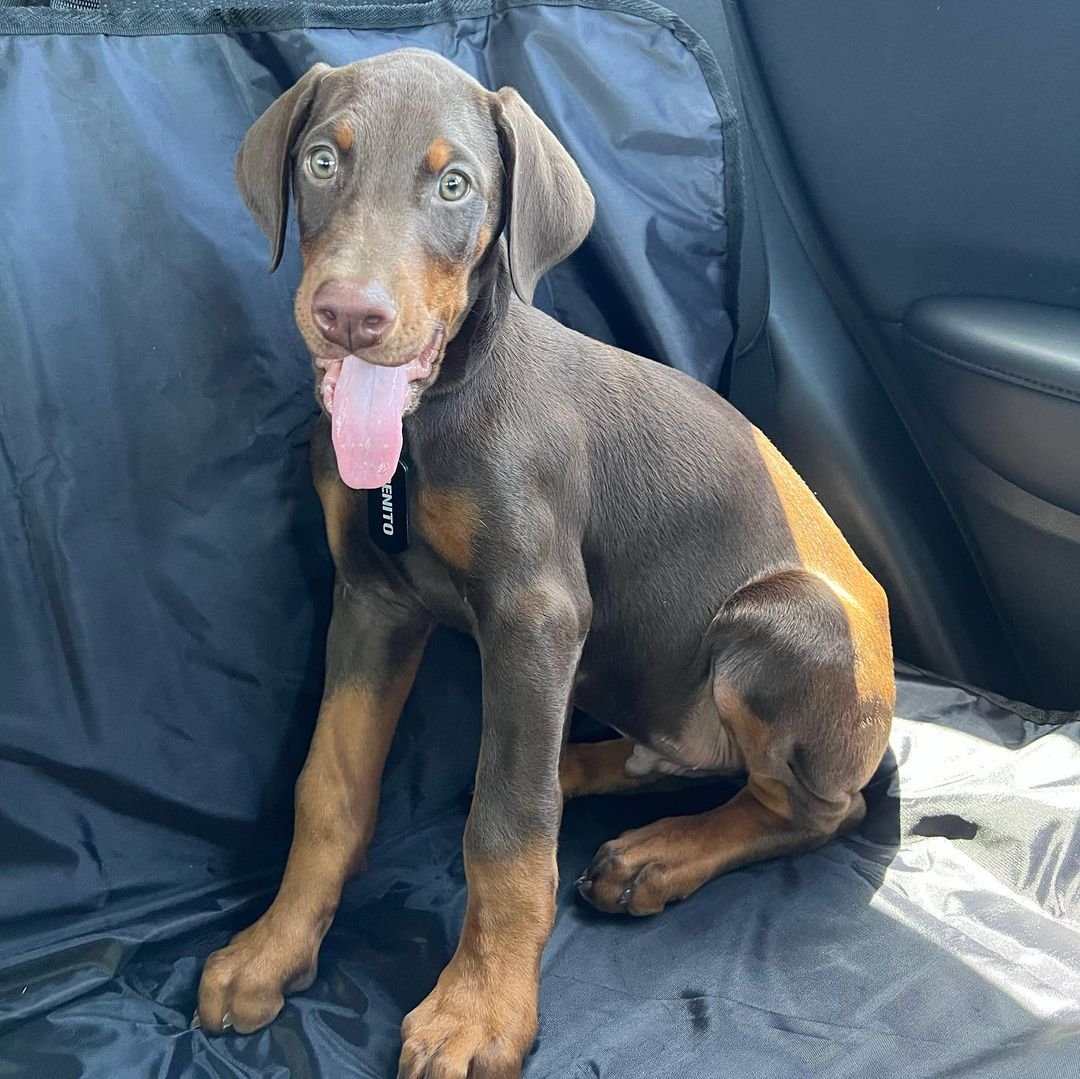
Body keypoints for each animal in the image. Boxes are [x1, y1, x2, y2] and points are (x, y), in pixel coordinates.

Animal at [194, 48, 894, 1079]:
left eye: (455, 185)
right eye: (322, 161)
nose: (349, 317)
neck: (424, 427)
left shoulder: (536, 612)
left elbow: (508, 825)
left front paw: (478, 1012)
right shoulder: (370, 599)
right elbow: (329, 784)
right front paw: (273, 948)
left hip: (782, 625)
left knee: (812, 807)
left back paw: (661, 854)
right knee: (669, 757)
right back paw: (589, 770)